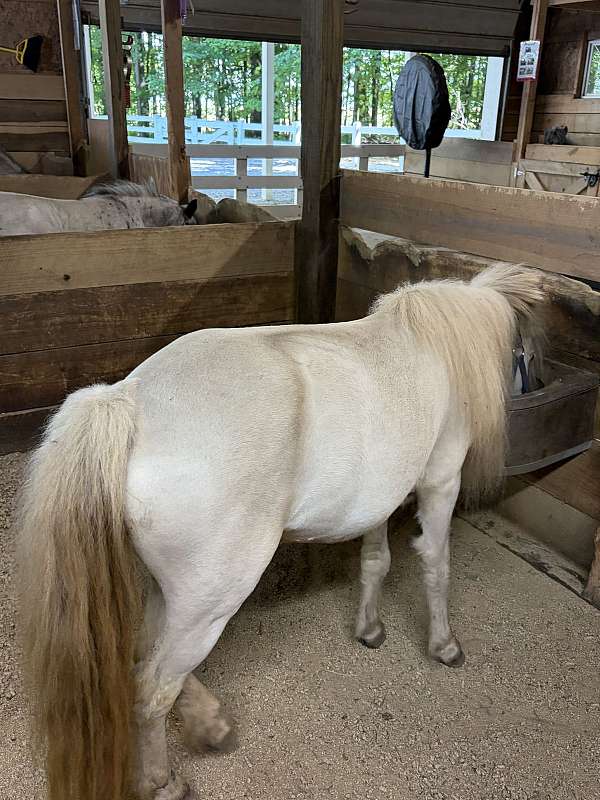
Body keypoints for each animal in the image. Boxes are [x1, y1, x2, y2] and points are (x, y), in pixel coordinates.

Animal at [19, 264, 543, 800]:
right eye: (525, 354)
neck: (431, 349)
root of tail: (128, 401)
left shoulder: (378, 498)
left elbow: (376, 561)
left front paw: (370, 629)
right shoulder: (441, 482)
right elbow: (436, 565)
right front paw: (444, 646)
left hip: (172, 591)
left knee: (149, 653)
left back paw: (212, 725)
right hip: (210, 600)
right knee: (151, 688)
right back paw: (164, 781)